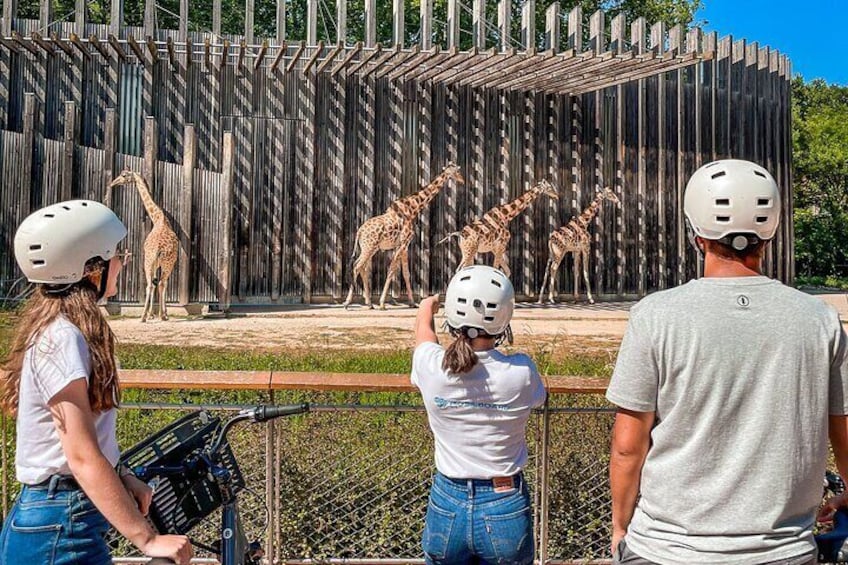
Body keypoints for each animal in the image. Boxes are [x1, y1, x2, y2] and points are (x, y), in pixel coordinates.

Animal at [108, 170, 180, 322]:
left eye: (124, 175)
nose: (113, 183)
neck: (159, 218)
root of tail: (159, 249)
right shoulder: (158, 263)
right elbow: (159, 283)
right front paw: (158, 313)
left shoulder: (157, 263)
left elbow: (156, 283)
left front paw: (154, 313)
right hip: (160, 263)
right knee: (158, 283)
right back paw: (153, 315)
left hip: (153, 262)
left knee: (152, 284)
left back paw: (145, 316)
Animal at [342, 163, 468, 310]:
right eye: (457, 171)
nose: (462, 180)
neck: (413, 208)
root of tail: (359, 231)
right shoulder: (402, 243)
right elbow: (391, 270)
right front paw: (382, 303)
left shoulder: (405, 246)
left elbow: (406, 274)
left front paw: (412, 302)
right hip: (369, 247)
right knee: (357, 266)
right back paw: (348, 302)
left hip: (369, 248)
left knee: (362, 268)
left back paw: (369, 303)